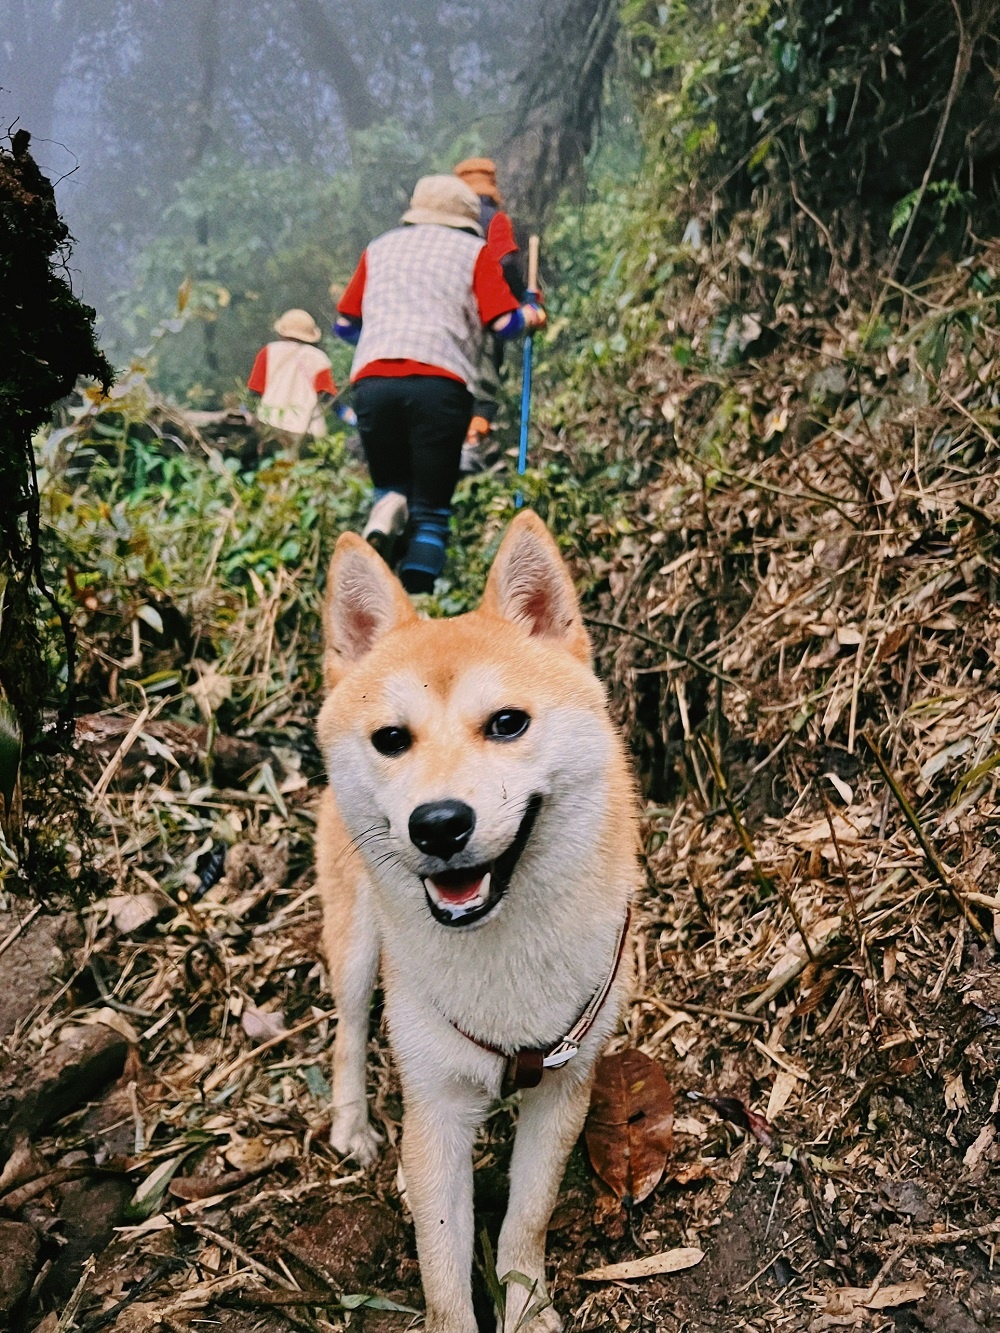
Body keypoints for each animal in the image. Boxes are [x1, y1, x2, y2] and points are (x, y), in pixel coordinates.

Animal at [314, 511, 642, 1333]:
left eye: (507, 723)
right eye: (392, 739)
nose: (437, 824)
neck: (501, 955)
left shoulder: (563, 1086)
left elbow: (527, 1216)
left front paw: (527, 1308)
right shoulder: (435, 1106)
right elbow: (441, 1266)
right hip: (358, 946)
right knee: (349, 1030)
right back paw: (353, 1125)